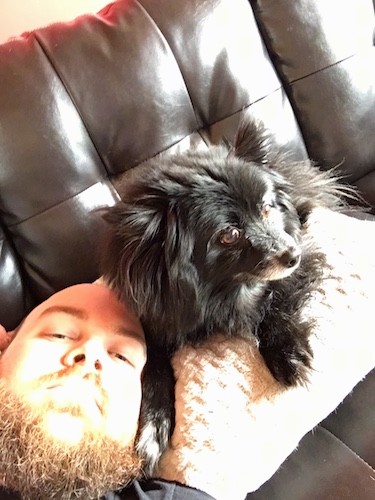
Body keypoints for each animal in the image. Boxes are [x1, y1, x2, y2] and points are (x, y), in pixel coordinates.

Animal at [100, 119, 350, 474]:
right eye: (229, 235)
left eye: (266, 209)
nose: (292, 254)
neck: (221, 290)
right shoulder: (155, 319)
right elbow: (153, 369)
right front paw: (152, 430)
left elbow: (274, 303)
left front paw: (288, 353)